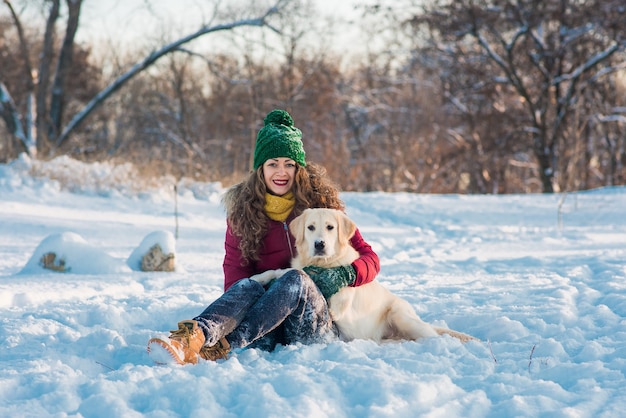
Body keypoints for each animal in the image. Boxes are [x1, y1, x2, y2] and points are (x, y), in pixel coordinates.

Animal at [249, 208, 472, 342]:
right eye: (310, 227)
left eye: (330, 227)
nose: (319, 244)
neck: (324, 263)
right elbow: (284, 270)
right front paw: (258, 278)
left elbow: (331, 288)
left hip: (400, 316)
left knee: (432, 335)